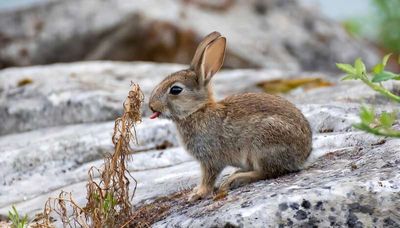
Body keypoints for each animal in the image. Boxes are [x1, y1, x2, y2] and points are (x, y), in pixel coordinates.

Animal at [148, 30, 312, 201]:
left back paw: (236, 179)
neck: (197, 110)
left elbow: (208, 177)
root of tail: (303, 155)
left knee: (268, 172)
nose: (151, 106)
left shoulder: (211, 158)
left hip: (263, 145)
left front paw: (197, 194)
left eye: (175, 90)